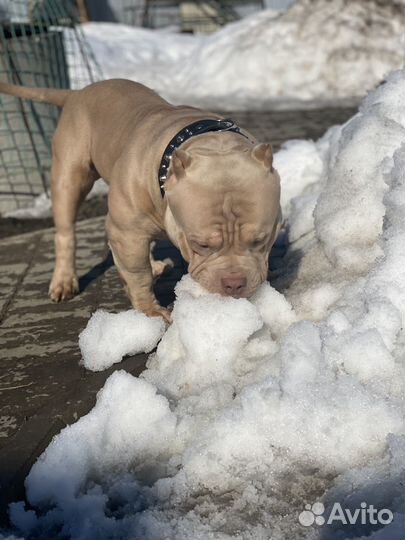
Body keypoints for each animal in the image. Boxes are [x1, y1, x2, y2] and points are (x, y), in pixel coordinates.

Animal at [0, 80, 280, 320]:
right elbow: (137, 274)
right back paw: (64, 280)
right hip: (69, 177)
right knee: (66, 232)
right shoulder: (127, 233)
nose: (234, 284)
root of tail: (78, 92)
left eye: (260, 240)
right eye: (200, 244)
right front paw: (150, 312)